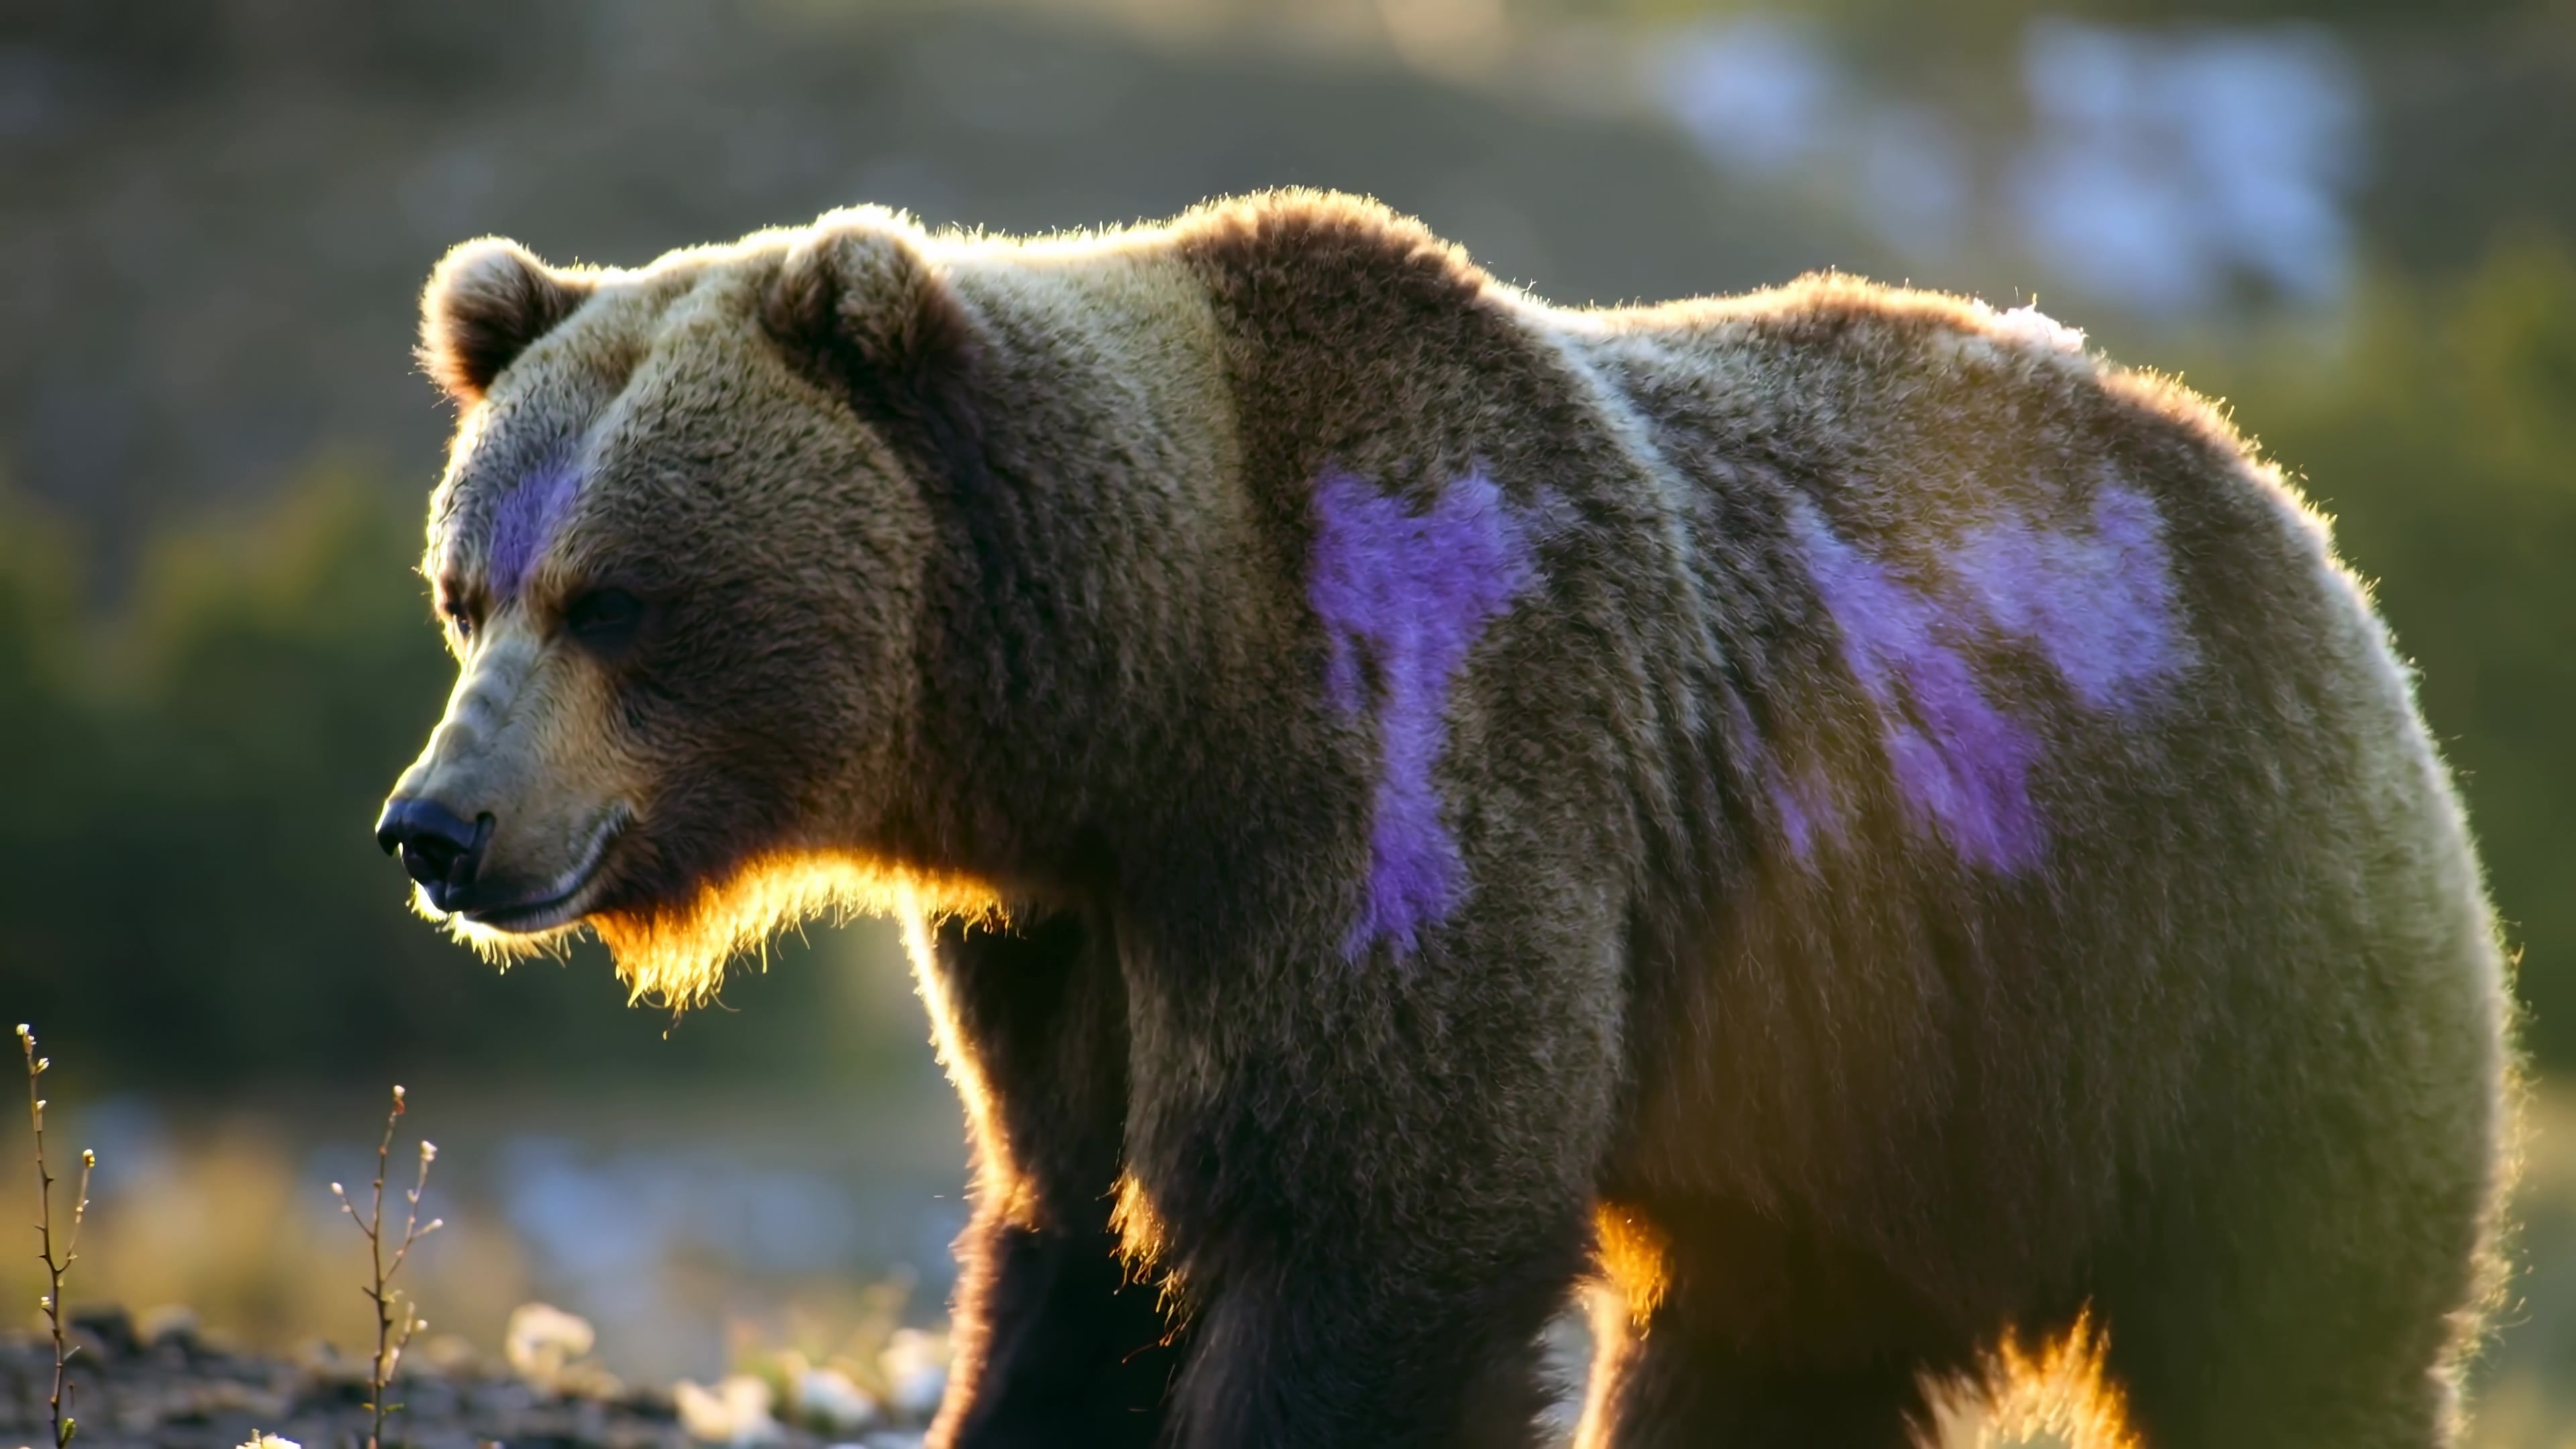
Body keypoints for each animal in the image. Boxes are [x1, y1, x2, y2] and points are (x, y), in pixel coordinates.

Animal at [375, 190, 2512, 1448]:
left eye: (617, 597)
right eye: (471, 589)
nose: (437, 824)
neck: (1145, 699)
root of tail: (2275, 500)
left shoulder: (1409, 766)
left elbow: (1378, 1219)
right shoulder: (1069, 937)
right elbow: (1076, 1237)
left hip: (2203, 945)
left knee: (2296, 1318)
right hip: (1871, 1078)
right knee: (1772, 1342)